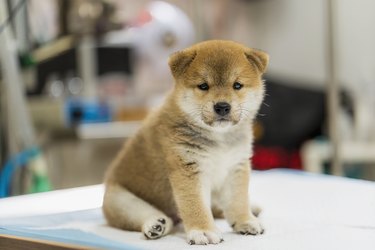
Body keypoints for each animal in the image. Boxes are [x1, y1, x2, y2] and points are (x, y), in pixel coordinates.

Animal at [101, 40, 268, 245]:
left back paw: (252, 209)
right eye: (203, 86)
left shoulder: (236, 166)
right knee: (146, 214)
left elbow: (238, 200)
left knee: (217, 207)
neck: (219, 138)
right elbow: (195, 205)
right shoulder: (188, 168)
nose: (222, 106)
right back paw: (156, 225)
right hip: (120, 200)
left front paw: (245, 220)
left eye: (237, 85)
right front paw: (203, 230)